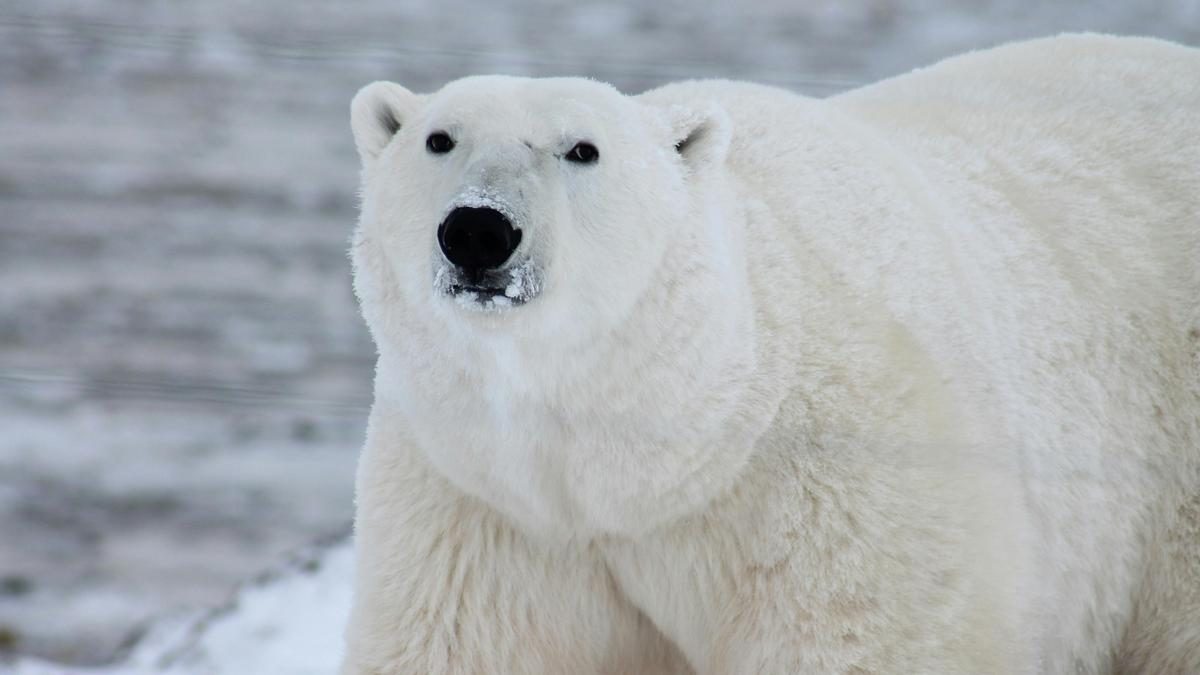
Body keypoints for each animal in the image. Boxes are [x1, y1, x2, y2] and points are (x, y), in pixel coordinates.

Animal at [340, 34, 1200, 667]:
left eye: (582, 149)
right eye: (438, 138)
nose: (478, 230)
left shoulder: (837, 482)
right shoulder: (485, 504)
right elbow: (463, 642)